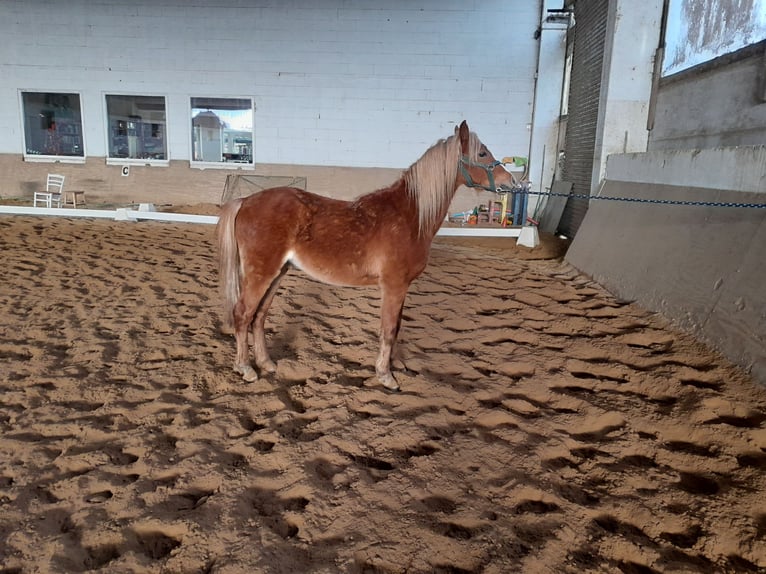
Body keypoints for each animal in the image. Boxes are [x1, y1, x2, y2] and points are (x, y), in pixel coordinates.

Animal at [217, 120, 513, 391]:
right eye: (482, 153)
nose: (512, 181)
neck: (410, 215)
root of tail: (245, 201)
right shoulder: (393, 285)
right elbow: (389, 330)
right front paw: (386, 376)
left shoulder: (402, 287)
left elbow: (397, 327)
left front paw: (395, 365)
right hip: (261, 273)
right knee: (243, 314)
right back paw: (246, 368)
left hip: (278, 272)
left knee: (259, 316)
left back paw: (266, 363)